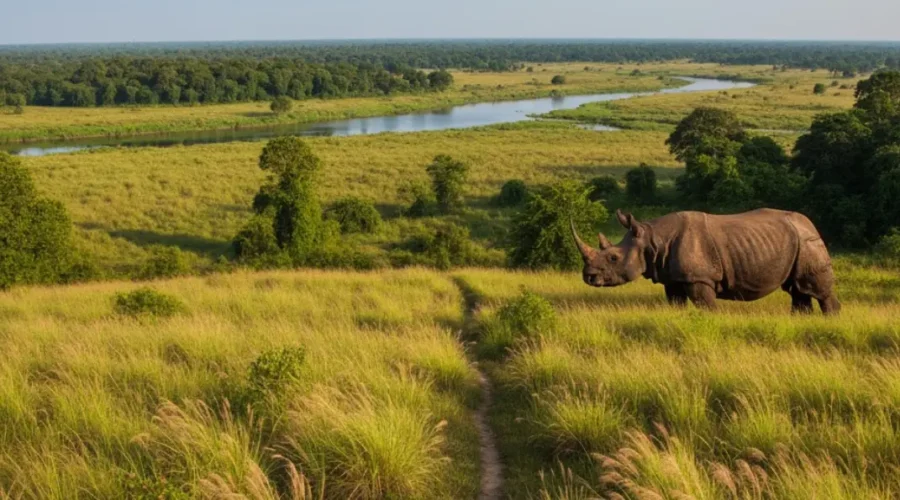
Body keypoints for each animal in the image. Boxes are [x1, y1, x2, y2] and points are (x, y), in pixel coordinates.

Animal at [571, 208, 840, 314]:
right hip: (798, 243)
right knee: (798, 290)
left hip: (809, 243)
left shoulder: (700, 278)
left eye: (613, 257)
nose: (588, 277)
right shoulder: (673, 278)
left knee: (817, 290)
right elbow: (676, 303)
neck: (652, 239)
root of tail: (811, 225)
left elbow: (706, 306)